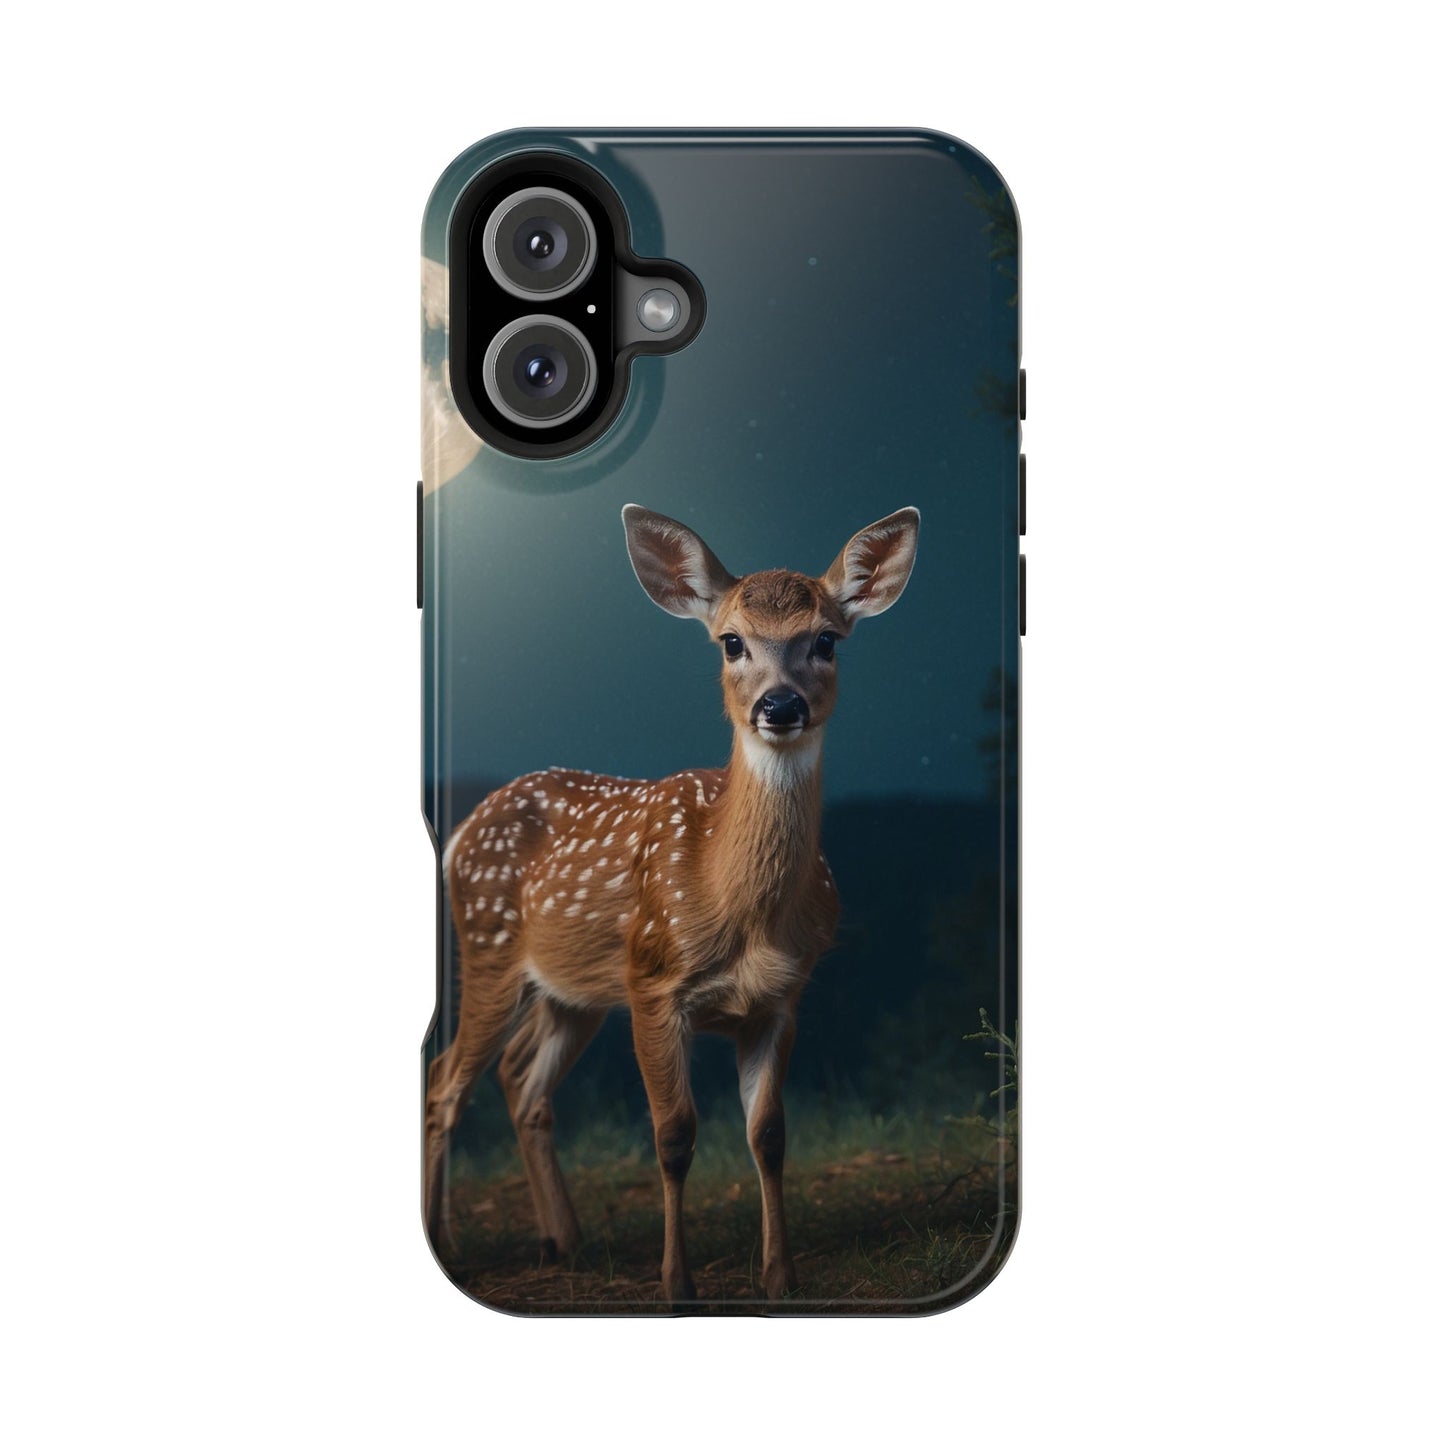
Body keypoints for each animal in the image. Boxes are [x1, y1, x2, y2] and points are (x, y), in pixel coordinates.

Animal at [424, 502, 920, 1301]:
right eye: (730, 641)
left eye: (826, 640)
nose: (780, 705)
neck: (738, 908)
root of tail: (462, 831)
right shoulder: (655, 984)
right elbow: (674, 1134)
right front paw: (676, 1282)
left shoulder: (781, 997)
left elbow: (769, 1134)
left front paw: (778, 1276)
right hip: (491, 949)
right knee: (445, 1081)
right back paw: (451, 1242)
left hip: (575, 991)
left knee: (520, 1079)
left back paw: (562, 1241)